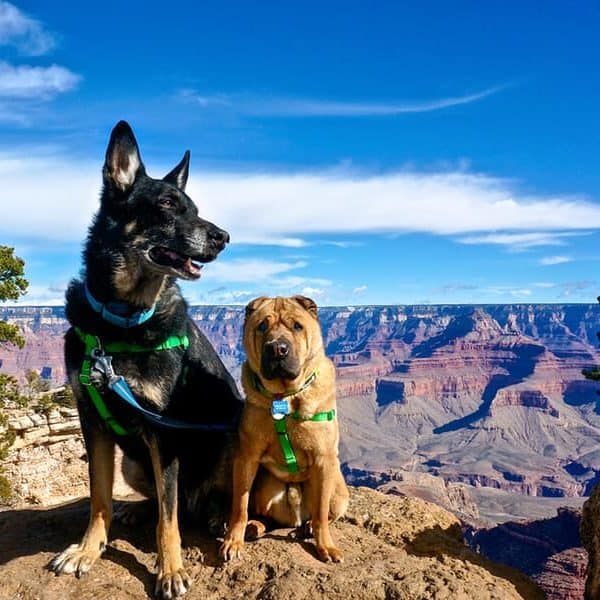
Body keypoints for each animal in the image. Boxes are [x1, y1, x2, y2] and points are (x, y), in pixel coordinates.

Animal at [49, 119, 241, 596]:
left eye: (195, 208)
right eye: (167, 204)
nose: (223, 237)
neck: (122, 322)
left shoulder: (162, 431)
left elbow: (169, 524)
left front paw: (170, 570)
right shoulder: (92, 422)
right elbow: (98, 496)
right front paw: (87, 549)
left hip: (234, 429)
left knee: (196, 503)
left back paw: (215, 516)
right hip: (133, 463)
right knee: (162, 499)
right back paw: (137, 509)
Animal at [221, 296, 350, 564]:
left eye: (297, 326)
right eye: (262, 325)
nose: (277, 349)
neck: (285, 397)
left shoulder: (324, 459)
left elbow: (322, 514)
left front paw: (325, 546)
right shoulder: (246, 458)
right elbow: (240, 506)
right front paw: (233, 540)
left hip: (338, 491)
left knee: (324, 513)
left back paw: (307, 527)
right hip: (264, 485)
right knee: (264, 515)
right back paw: (255, 526)